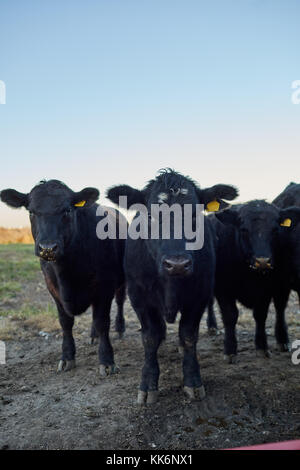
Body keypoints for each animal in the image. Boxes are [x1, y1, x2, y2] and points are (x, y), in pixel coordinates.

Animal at [0, 180, 126, 374]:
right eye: (31, 211)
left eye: (67, 210)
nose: (47, 248)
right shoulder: (53, 287)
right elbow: (65, 322)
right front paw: (67, 357)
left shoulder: (105, 286)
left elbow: (102, 321)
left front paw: (107, 360)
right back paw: (93, 335)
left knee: (119, 302)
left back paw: (119, 329)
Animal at [106, 169, 238, 404]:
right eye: (150, 216)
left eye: (195, 216)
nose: (177, 264)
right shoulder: (139, 297)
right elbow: (150, 337)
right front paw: (148, 384)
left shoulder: (199, 295)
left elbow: (188, 336)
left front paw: (193, 381)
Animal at [212, 198, 300, 360]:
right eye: (244, 229)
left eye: (275, 229)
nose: (263, 261)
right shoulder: (222, 289)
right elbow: (230, 316)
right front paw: (230, 350)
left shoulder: (266, 290)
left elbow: (260, 315)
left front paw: (261, 346)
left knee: (280, 309)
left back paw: (282, 340)